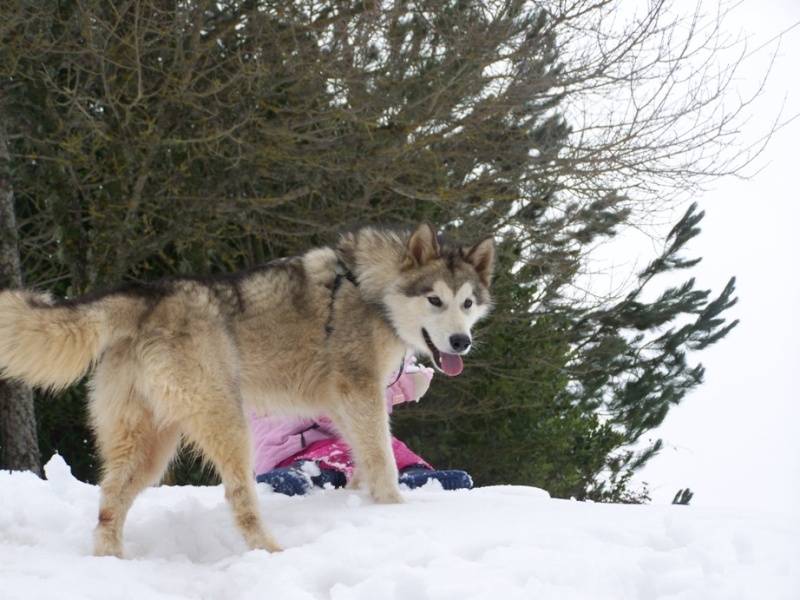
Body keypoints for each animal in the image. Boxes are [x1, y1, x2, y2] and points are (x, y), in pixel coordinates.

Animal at [0, 224, 494, 556]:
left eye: (467, 303)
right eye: (435, 300)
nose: (461, 342)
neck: (372, 287)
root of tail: (149, 295)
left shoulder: (345, 403)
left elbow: (363, 456)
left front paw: (363, 498)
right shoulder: (360, 390)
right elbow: (384, 459)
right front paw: (394, 508)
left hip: (146, 447)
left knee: (109, 504)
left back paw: (112, 563)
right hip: (228, 424)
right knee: (238, 496)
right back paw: (270, 549)